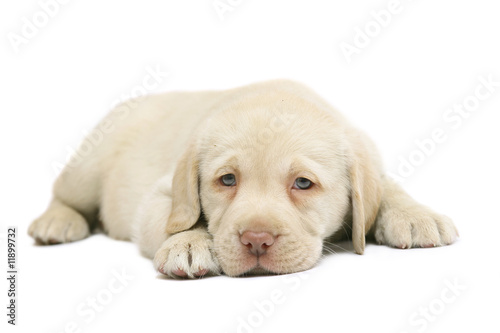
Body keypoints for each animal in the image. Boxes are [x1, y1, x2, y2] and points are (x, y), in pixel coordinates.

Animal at [26, 80, 458, 278]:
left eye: (303, 184)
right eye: (227, 180)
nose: (256, 241)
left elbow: (385, 187)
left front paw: (415, 215)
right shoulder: (160, 196)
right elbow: (175, 217)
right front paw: (189, 242)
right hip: (89, 163)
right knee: (64, 194)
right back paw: (56, 222)